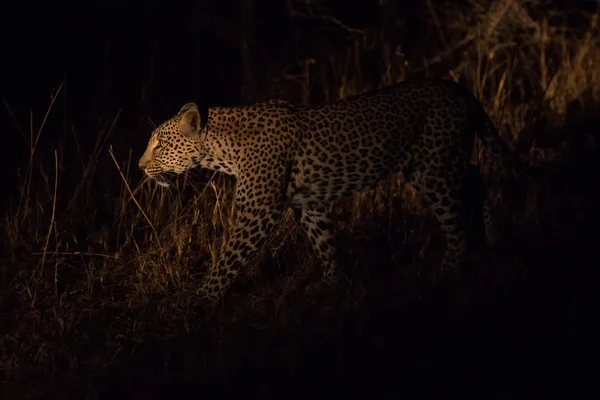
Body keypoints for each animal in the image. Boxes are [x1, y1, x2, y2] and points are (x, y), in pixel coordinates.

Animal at [137, 77, 536, 304]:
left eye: (160, 144)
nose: (140, 167)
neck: (221, 150)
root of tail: (459, 88)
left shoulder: (258, 211)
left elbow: (229, 257)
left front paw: (202, 298)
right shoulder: (309, 203)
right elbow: (324, 242)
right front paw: (331, 284)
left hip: (435, 168)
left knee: (455, 216)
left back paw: (450, 271)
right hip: (429, 167)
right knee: (476, 176)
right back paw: (490, 238)